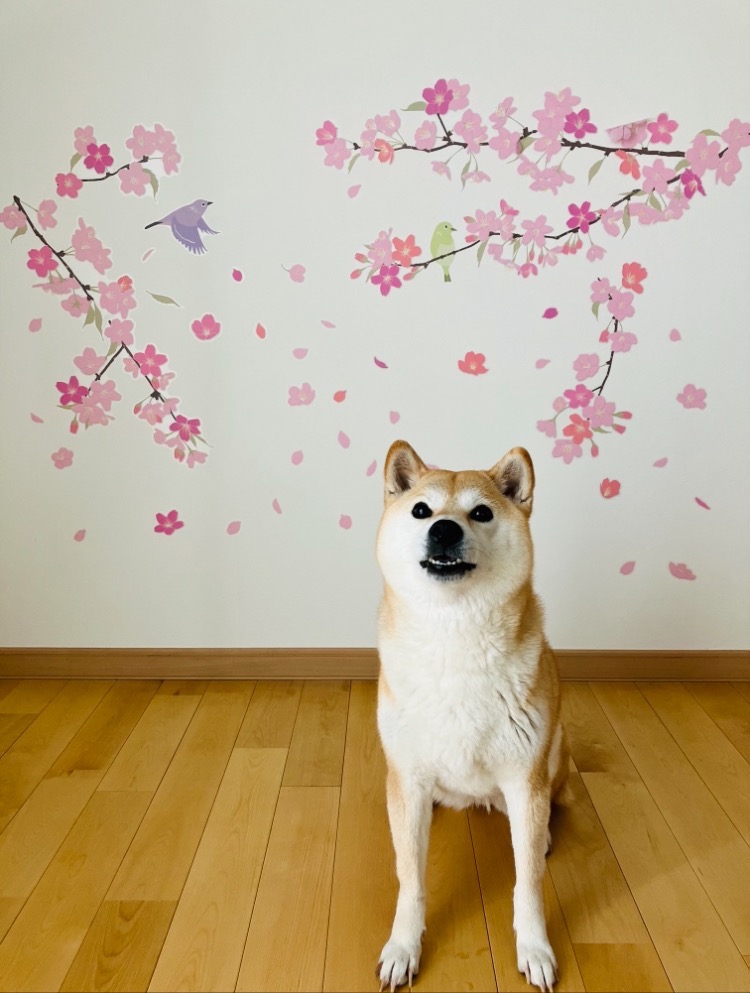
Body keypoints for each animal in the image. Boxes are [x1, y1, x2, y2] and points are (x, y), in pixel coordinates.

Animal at [376, 442, 568, 992]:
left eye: (480, 513)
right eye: (422, 510)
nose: (444, 529)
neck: (454, 638)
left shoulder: (524, 777)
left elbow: (528, 883)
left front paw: (534, 947)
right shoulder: (408, 776)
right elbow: (410, 878)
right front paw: (403, 946)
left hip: (551, 753)